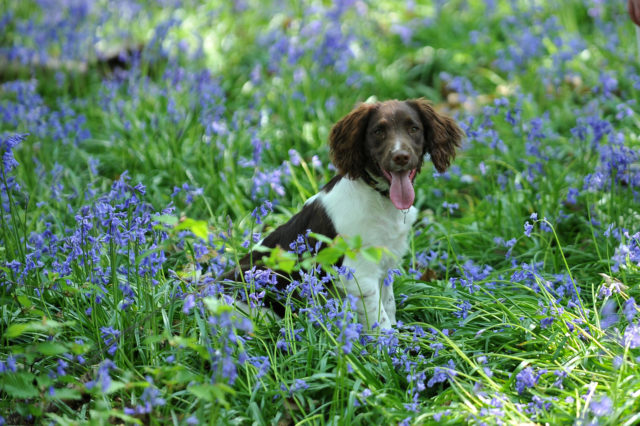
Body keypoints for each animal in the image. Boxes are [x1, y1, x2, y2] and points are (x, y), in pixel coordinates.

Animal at [229, 100, 460, 330]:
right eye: (378, 131)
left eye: (414, 128)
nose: (401, 156)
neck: (381, 198)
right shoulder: (358, 274)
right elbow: (380, 320)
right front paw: (391, 340)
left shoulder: (385, 263)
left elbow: (389, 303)